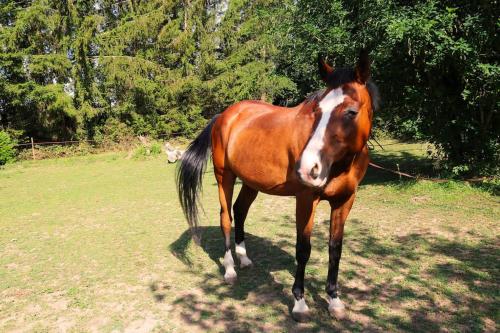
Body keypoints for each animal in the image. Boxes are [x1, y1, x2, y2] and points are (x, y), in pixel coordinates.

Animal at [176, 50, 378, 320]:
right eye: (317, 111)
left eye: (351, 112)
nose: (307, 168)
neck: (339, 164)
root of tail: (224, 116)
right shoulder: (306, 200)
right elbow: (303, 249)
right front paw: (300, 303)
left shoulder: (345, 201)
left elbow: (335, 249)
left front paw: (334, 300)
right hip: (224, 177)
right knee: (226, 217)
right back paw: (230, 269)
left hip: (250, 182)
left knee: (240, 211)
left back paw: (244, 259)